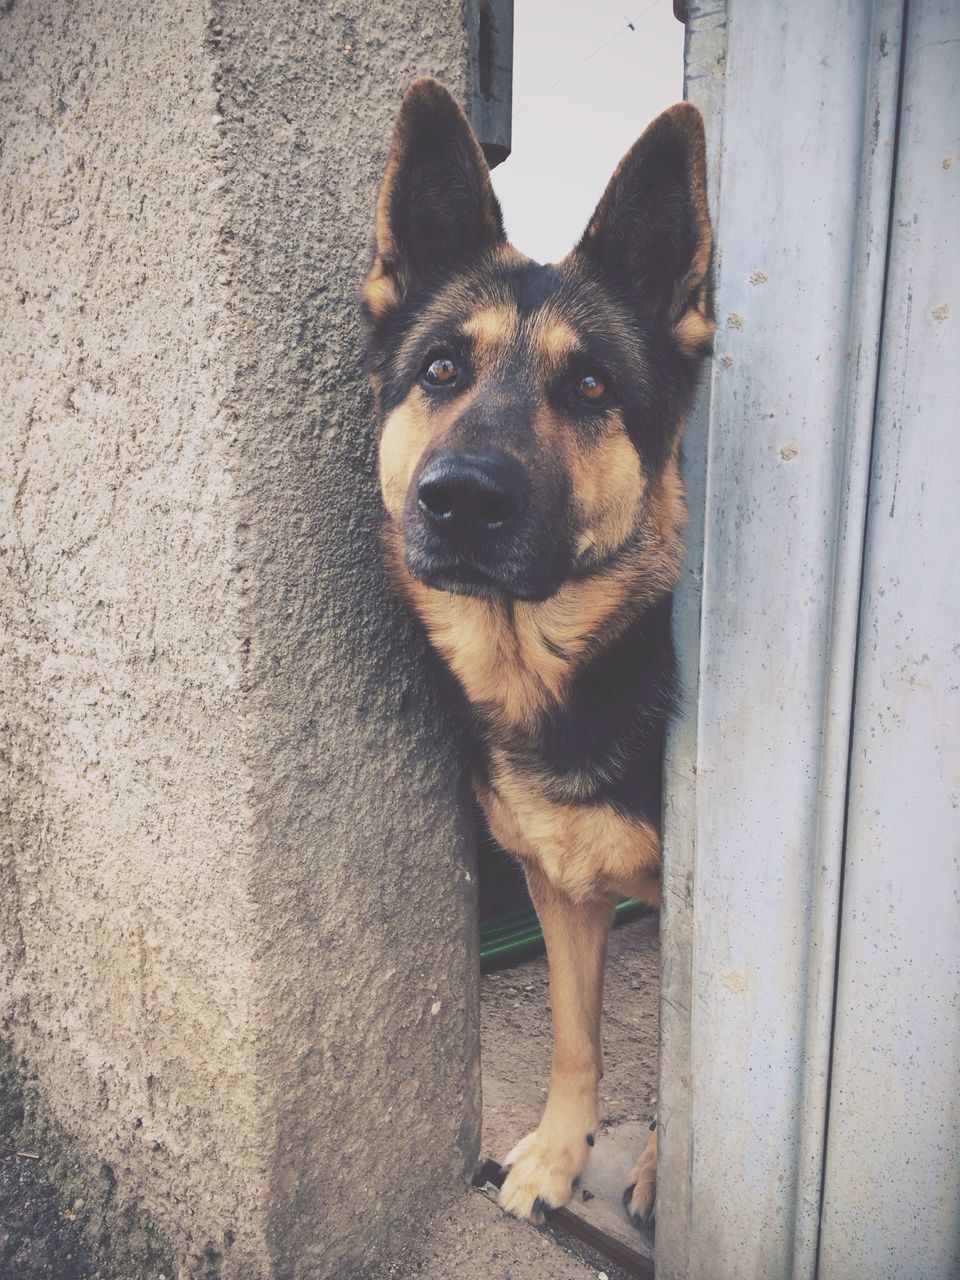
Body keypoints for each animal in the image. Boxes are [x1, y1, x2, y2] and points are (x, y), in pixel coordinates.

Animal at [363, 80, 711, 1228]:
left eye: (592, 386)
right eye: (440, 369)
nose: (460, 500)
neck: (548, 671)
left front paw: (660, 1168)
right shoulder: (562, 890)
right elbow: (573, 1034)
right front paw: (562, 1155)